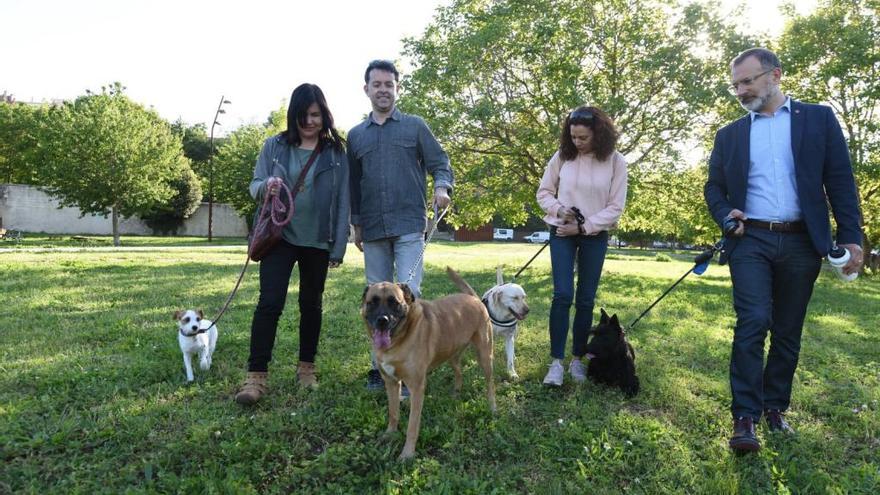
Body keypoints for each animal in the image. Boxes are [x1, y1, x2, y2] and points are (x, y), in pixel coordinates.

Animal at [360, 268, 496, 462]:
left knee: (490, 383)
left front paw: (407, 454)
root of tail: (474, 298)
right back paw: (456, 393)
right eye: (372, 302)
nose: (382, 320)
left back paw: (492, 407)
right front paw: (389, 434)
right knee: (459, 372)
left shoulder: (417, 388)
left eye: (394, 303)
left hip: (485, 356)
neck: (399, 340)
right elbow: (393, 414)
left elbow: (412, 426)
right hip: (452, 355)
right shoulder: (391, 383)